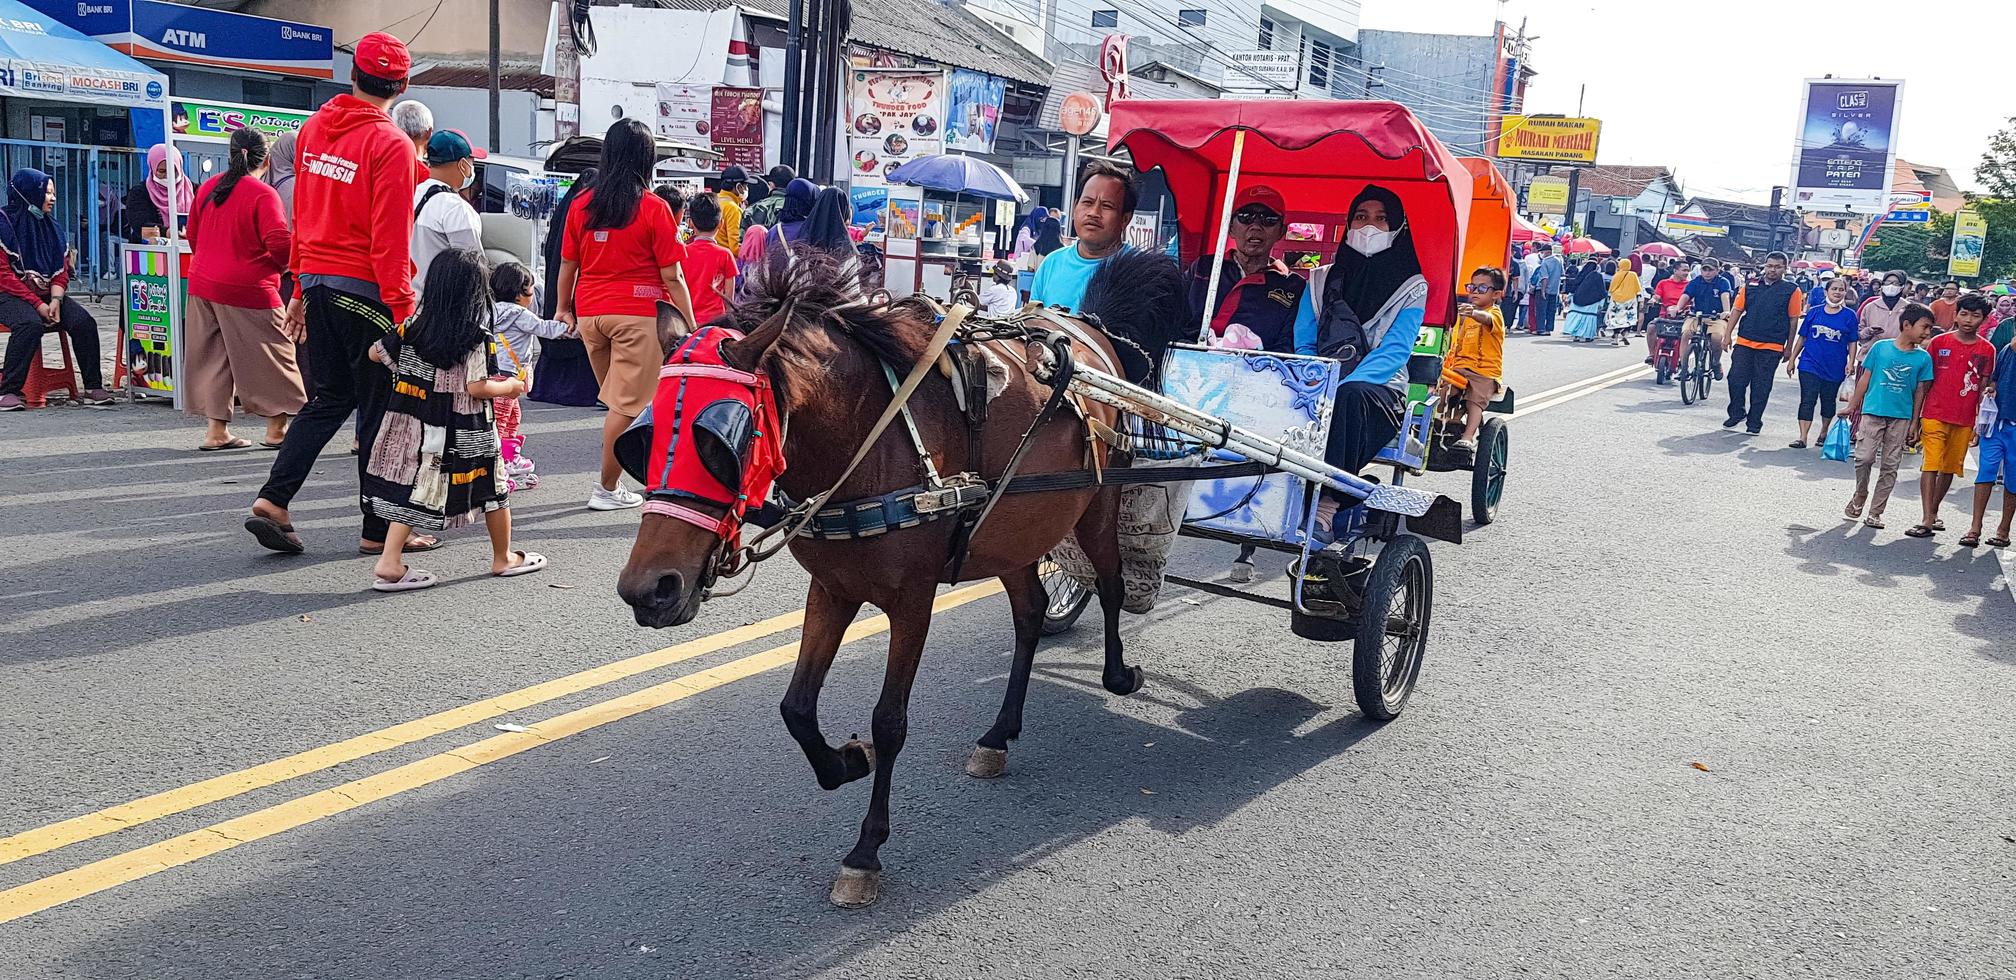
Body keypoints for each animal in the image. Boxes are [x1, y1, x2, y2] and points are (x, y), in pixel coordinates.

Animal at [612, 254, 1177, 911]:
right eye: (641, 439)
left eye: (720, 440)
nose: (648, 590)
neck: (868, 440)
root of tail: (1088, 328)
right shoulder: (833, 589)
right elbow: (796, 707)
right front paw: (846, 761)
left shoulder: (913, 600)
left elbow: (890, 720)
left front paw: (866, 850)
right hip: (1012, 529)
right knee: (1031, 611)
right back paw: (1000, 733)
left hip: (1096, 505)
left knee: (1110, 585)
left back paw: (1117, 674)